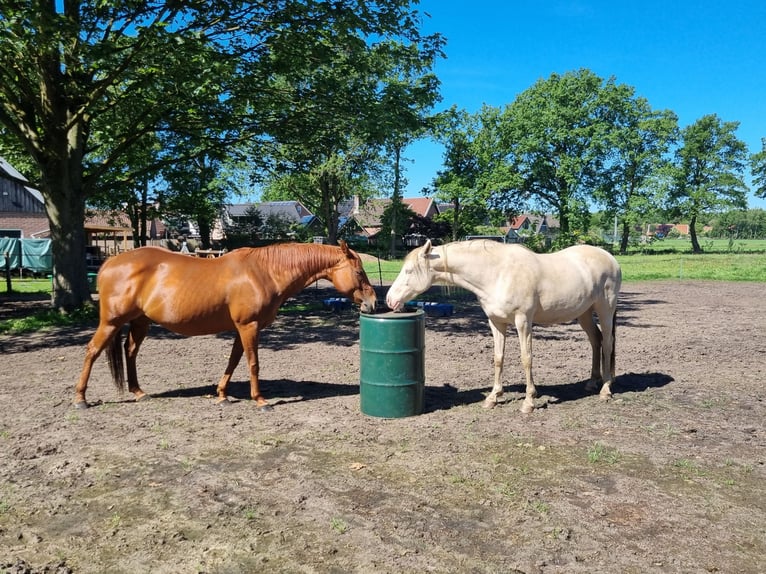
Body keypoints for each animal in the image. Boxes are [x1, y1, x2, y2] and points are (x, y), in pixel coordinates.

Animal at [74, 241, 377, 411]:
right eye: (359, 271)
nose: (373, 302)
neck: (264, 272)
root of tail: (110, 262)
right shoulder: (248, 326)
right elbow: (253, 363)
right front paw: (260, 400)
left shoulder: (241, 328)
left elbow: (233, 360)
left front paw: (222, 395)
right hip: (111, 322)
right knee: (92, 351)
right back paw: (81, 399)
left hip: (141, 321)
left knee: (131, 352)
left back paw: (138, 392)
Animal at [385, 240, 622, 413]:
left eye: (408, 271)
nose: (389, 300)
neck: (497, 273)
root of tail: (610, 257)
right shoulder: (496, 322)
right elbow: (498, 358)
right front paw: (493, 397)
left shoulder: (523, 321)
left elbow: (526, 359)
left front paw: (529, 402)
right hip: (584, 313)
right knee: (596, 341)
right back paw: (592, 382)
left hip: (605, 309)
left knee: (608, 343)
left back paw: (605, 389)